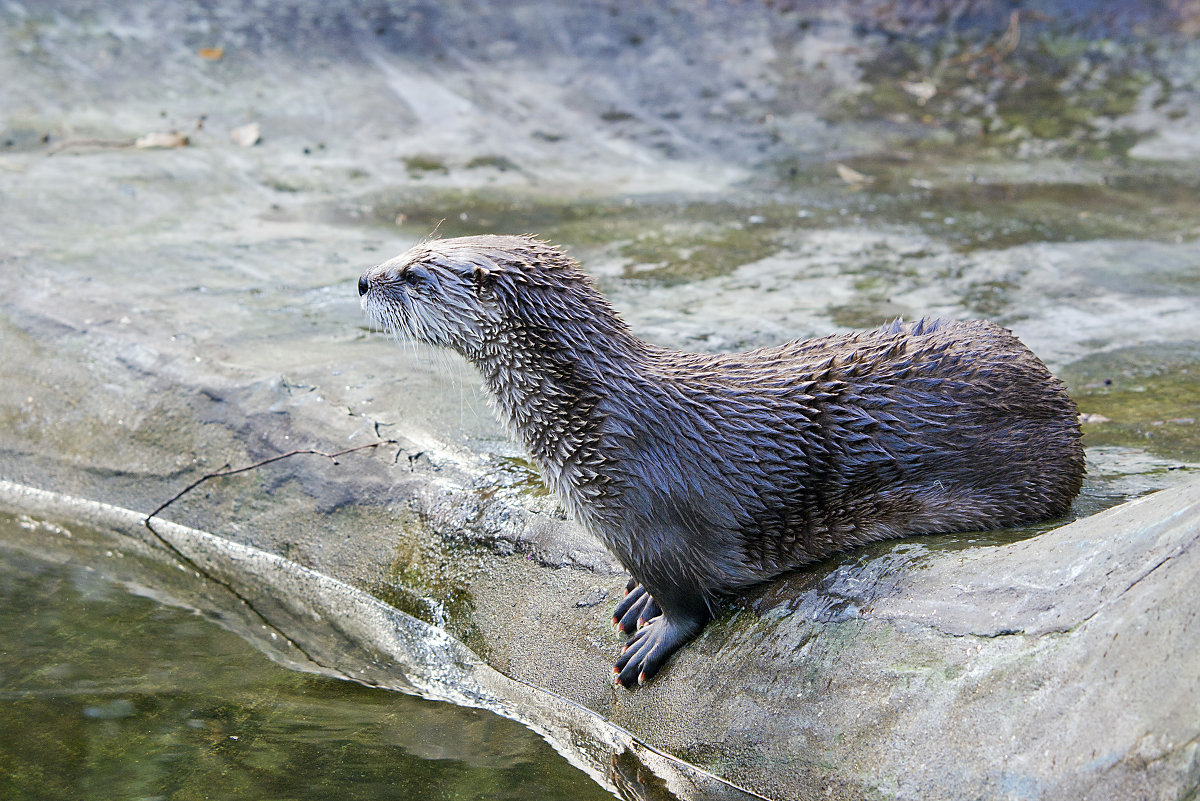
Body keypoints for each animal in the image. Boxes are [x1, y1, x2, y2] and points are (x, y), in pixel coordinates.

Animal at [355, 235, 1089, 685]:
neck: (599, 420)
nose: (362, 277)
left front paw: (654, 637)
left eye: (414, 273)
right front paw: (637, 597)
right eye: (408, 250)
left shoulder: (657, 522)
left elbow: (688, 601)